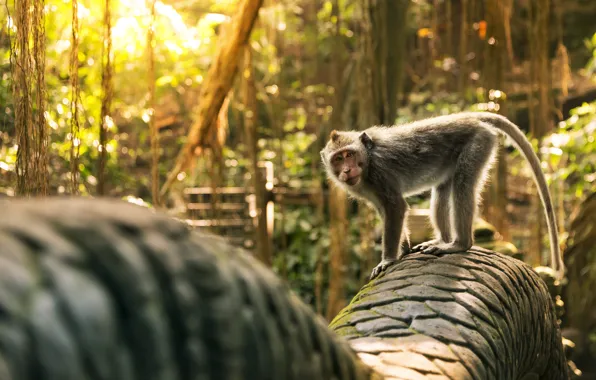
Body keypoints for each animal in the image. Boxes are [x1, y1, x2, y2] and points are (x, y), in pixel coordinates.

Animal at [322, 111, 564, 280]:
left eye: (349, 154)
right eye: (338, 159)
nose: (347, 171)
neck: (368, 160)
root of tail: (470, 117)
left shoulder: (380, 173)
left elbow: (395, 207)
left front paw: (388, 259)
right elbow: (386, 211)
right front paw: (405, 247)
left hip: (478, 143)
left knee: (463, 186)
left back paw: (459, 244)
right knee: (441, 190)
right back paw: (443, 240)